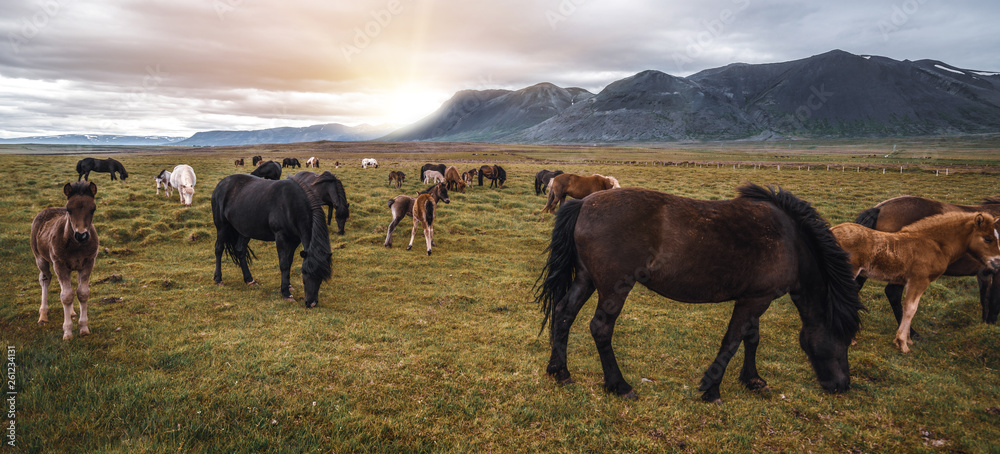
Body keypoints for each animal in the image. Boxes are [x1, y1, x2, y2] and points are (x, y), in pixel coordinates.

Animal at [31, 183, 99, 338]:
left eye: (93, 208)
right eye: (69, 209)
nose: (81, 235)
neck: (77, 245)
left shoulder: (88, 263)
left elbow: (82, 293)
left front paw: (84, 328)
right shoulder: (59, 264)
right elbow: (66, 296)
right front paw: (67, 332)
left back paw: (72, 312)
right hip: (40, 259)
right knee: (45, 279)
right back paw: (43, 316)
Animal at [210, 174, 332, 308]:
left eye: (321, 277)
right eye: (304, 272)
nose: (312, 303)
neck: (291, 205)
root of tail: (221, 184)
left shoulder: (294, 240)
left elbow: (289, 262)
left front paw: (288, 285)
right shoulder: (280, 237)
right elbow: (284, 264)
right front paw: (286, 293)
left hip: (244, 230)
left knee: (240, 250)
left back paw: (249, 279)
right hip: (222, 226)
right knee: (218, 249)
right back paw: (218, 279)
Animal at [536, 183, 864, 402]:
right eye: (842, 337)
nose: (842, 385)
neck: (792, 242)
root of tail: (584, 204)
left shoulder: (757, 297)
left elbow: (751, 339)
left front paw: (753, 380)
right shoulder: (754, 301)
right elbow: (731, 342)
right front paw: (712, 389)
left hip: (586, 279)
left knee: (564, 314)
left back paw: (560, 371)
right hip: (613, 288)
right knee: (600, 328)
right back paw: (620, 386)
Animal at [832, 213, 1000, 354]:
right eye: (987, 238)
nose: (997, 263)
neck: (935, 244)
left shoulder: (910, 281)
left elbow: (909, 307)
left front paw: (907, 340)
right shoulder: (919, 280)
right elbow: (910, 309)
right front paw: (902, 343)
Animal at [852, 195, 1000, 326]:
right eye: (988, 239)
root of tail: (880, 208)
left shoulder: (984, 273)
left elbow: (985, 298)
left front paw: (985, 323)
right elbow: (994, 299)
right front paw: (991, 324)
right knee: (892, 293)